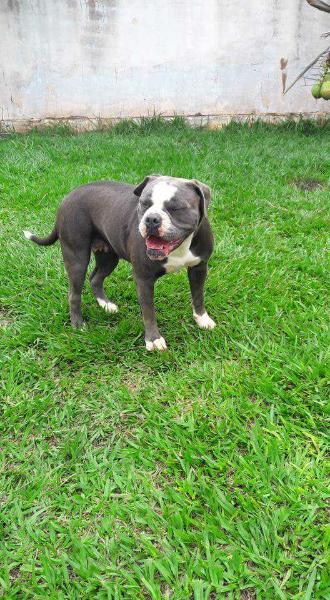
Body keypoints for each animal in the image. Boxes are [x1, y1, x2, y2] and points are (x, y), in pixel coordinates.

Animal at [23, 176, 215, 350]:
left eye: (176, 208)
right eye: (144, 203)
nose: (151, 219)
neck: (179, 247)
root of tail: (68, 197)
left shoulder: (199, 268)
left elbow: (198, 295)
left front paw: (202, 319)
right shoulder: (143, 279)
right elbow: (148, 311)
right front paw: (153, 339)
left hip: (108, 256)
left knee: (95, 278)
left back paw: (106, 305)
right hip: (76, 257)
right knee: (74, 293)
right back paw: (78, 324)